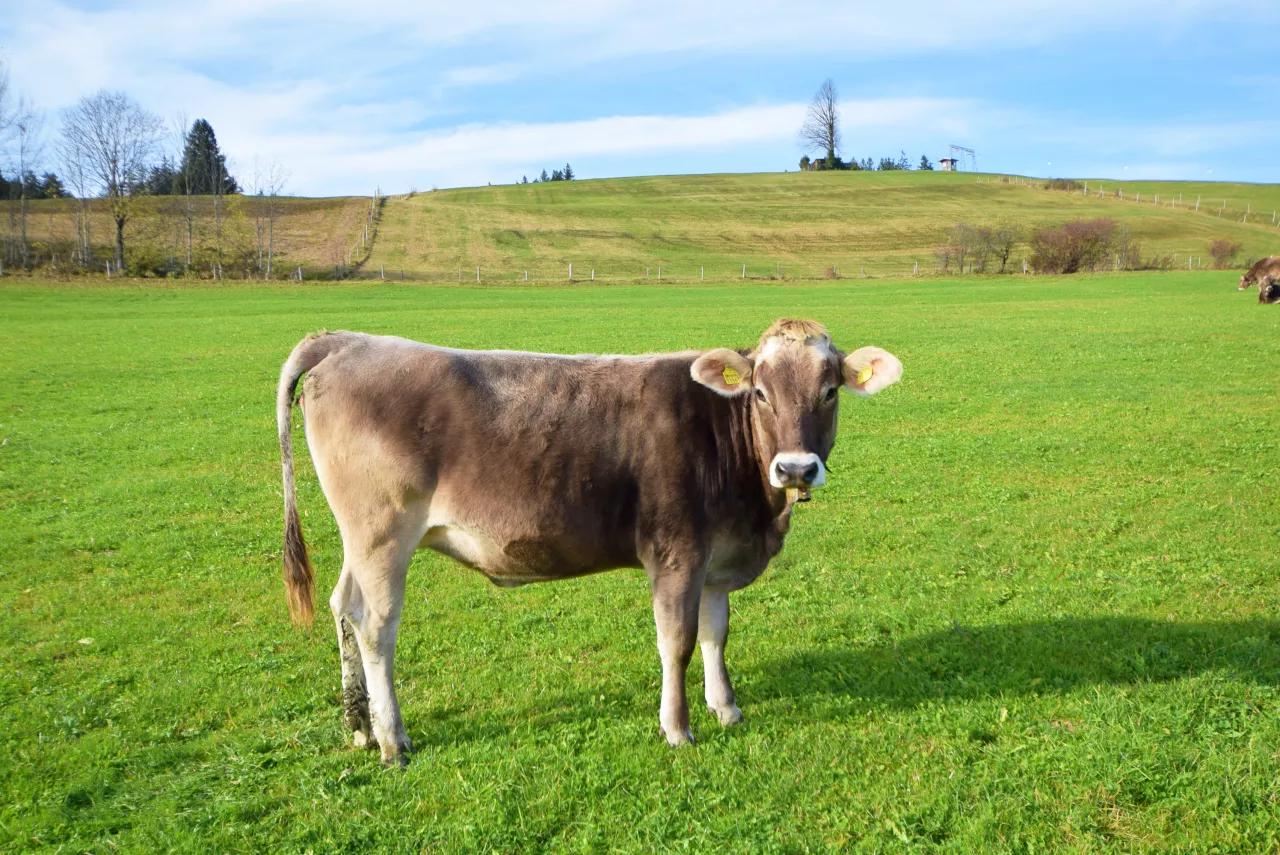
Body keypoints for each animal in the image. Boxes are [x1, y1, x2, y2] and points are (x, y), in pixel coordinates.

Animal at [276, 318, 906, 762]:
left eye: (829, 391)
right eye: (760, 393)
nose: (796, 469)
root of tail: (347, 341)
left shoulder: (714, 557)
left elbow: (715, 635)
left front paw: (726, 709)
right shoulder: (676, 553)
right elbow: (677, 642)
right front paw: (678, 728)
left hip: (360, 541)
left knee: (342, 606)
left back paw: (358, 726)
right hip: (382, 534)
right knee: (375, 626)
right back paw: (392, 740)